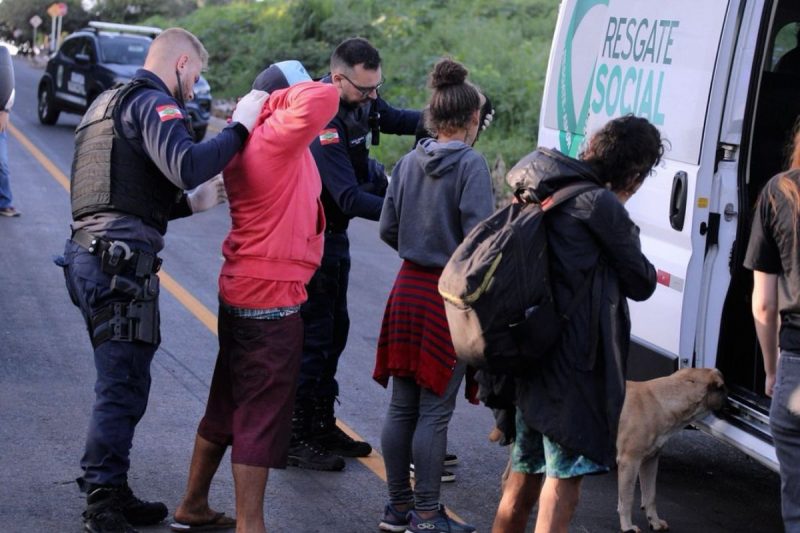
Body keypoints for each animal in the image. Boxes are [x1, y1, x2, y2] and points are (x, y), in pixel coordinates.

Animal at [616, 368, 728, 528]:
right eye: (723, 388)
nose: (730, 401)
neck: (660, 402)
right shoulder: (629, 461)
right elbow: (627, 499)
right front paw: (627, 527)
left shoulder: (650, 461)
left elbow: (650, 495)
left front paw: (654, 521)